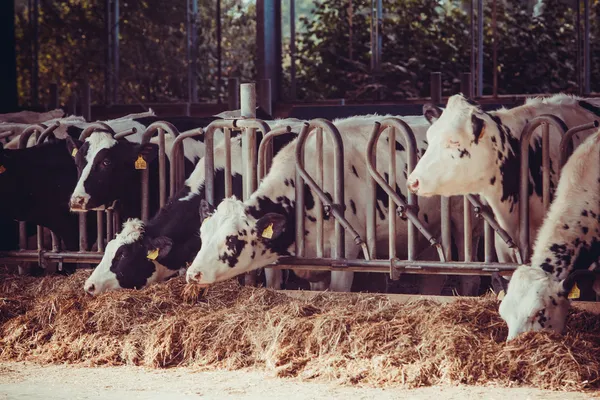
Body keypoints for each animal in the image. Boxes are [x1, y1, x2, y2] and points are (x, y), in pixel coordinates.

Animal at [185, 115, 486, 294]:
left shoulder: (346, 255)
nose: (193, 273)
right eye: (201, 235)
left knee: (469, 273)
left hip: (465, 224)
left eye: (232, 239)